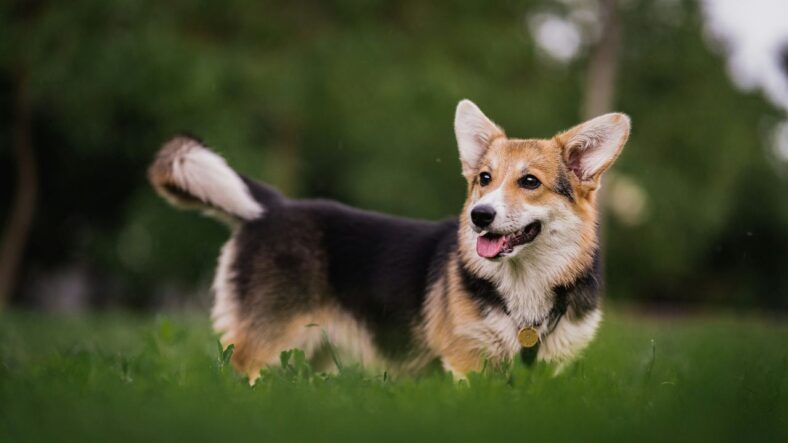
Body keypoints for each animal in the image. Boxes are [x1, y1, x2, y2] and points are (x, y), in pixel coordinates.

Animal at [146, 99, 628, 382]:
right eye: (484, 180)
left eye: (530, 182)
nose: (479, 216)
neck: (523, 288)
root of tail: (271, 206)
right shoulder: (466, 365)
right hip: (267, 345)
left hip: (310, 354)